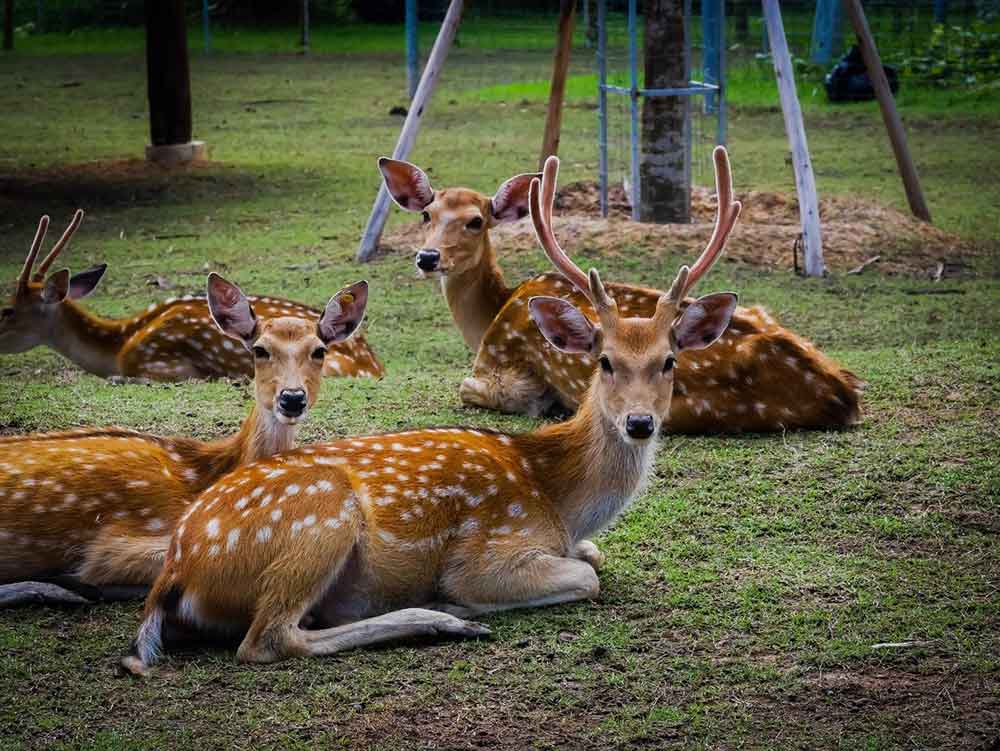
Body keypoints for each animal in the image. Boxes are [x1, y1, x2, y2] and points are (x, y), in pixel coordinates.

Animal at [119, 147, 744, 676]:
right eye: (605, 361)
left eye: (668, 361)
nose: (640, 423)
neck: (561, 501)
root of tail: (176, 569)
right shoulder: (492, 551)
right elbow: (587, 576)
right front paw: (459, 600)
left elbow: (595, 555)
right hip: (319, 520)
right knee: (268, 638)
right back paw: (439, 619)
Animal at [378, 151, 864, 434]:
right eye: (426, 214)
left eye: (476, 221)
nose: (427, 257)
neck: (490, 316)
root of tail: (840, 391)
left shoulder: (501, 367)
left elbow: (469, 387)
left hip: (695, 408)